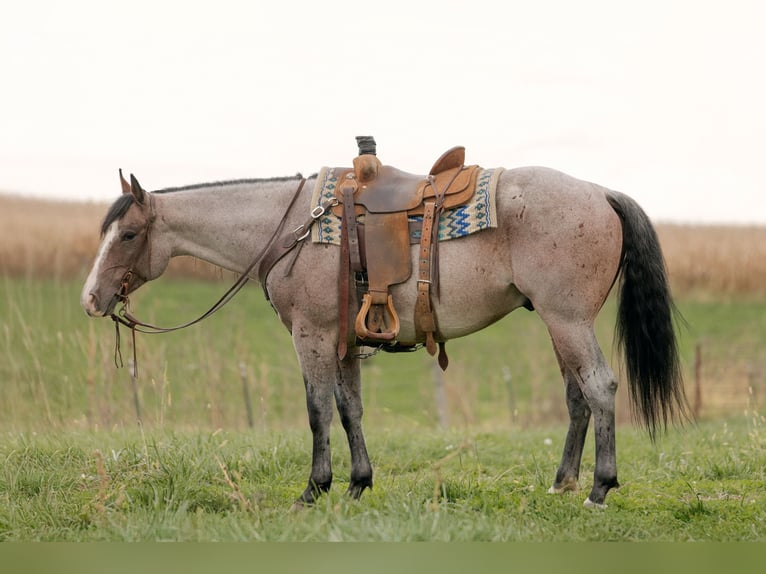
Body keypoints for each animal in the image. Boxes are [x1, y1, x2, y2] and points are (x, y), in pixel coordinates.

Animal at [80, 162, 687, 508]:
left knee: (600, 387)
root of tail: (601, 193)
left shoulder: (312, 336)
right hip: (557, 322)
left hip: (568, 319)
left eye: (129, 234)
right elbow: (350, 409)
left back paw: (599, 488)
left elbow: (318, 411)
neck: (292, 228)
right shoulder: (344, 342)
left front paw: (314, 489)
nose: (90, 298)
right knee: (577, 396)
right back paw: (562, 483)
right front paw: (357, 483)